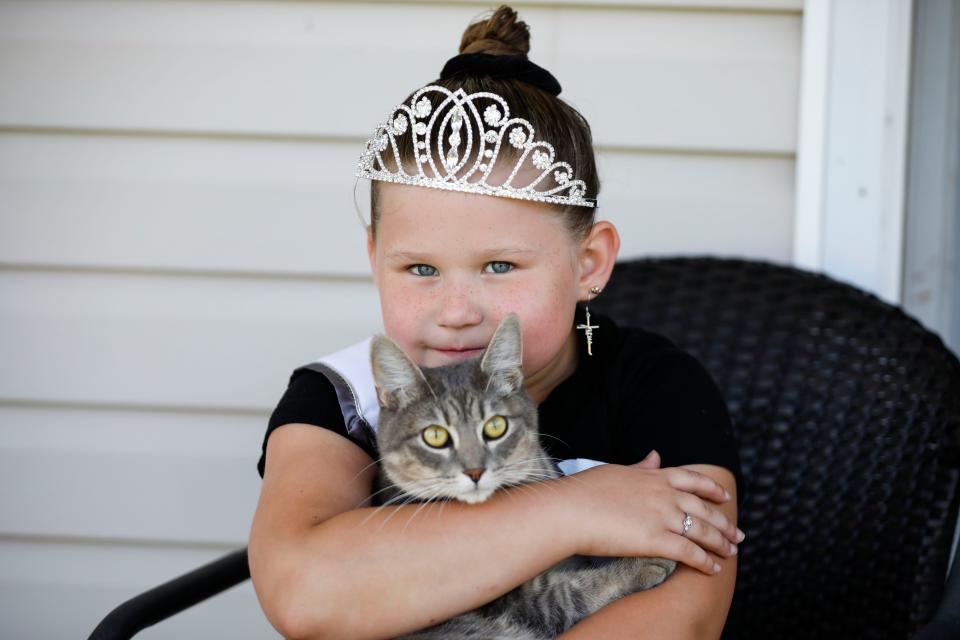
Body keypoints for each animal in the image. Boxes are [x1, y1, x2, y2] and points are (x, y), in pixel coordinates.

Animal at [368, 314, 676, 640]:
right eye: (435, 436)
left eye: (495, 427)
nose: (474, 471)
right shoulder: (515, 601)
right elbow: (567, 595)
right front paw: (639, 565)